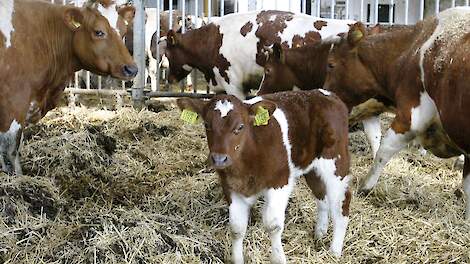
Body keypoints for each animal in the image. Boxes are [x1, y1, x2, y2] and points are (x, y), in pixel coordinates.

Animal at [178, 90, 350, 262]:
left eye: (240, 126)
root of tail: (326, 94)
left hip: (336, 164)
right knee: (321, 196)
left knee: (342, 204)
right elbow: (237, 228)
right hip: (312, 168)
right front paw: (238, 259)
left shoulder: (280, 182)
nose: (219, 159)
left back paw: (334, 252)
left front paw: (278, 258)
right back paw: (319, 234)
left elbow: (273, 225)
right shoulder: (230, 188)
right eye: (207, 125)